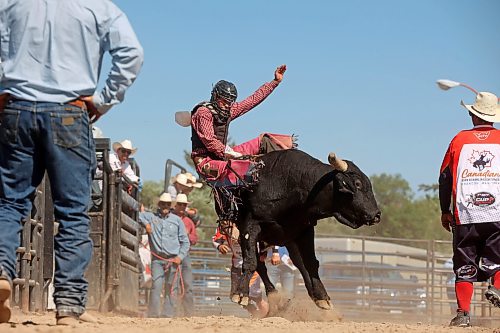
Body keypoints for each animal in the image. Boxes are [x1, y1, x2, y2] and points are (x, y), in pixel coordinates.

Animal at [232, 148, 380, 308]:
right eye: (358, 184)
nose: (377, 214)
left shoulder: (304, 230)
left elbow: (310, 263)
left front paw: (322, 296)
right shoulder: (250, 225)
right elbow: (251, 261)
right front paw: (241, 294)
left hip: (289, 239)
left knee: (298, 264)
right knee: (260, 264)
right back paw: (271, 294)